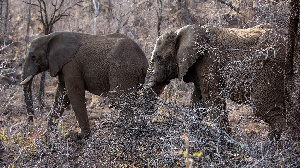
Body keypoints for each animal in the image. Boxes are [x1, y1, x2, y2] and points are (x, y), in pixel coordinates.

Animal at [20, 31, 148, 138]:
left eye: (33, 57)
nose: (30, 130)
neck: (50, 37)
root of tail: (143, 61)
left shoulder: (71, 65)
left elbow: (74, 93)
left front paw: (81, 136)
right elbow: (62, 96)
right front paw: (48, 137)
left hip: (122, 71)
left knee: (118, 101)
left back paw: (122, 132)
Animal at [149, 24, 286, 140]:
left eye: (158, 57)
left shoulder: (208, 63)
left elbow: (213, 102)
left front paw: (227, 147)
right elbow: (197, 102)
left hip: (270, 69)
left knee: (265, 110)